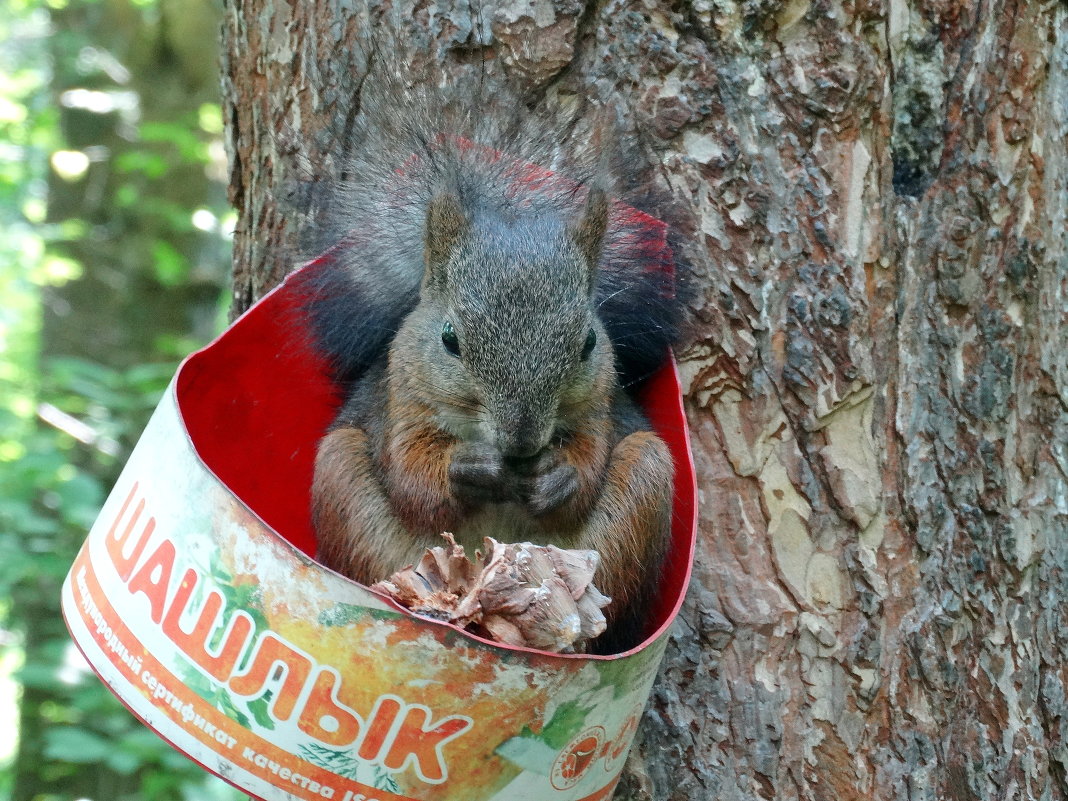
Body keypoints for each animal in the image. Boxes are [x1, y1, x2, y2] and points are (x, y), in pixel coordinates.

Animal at [301, 78, 683, 653]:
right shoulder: (400, 401)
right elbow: (412, 479)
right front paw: (470, 467)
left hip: (645, 485)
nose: (521, 442)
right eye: (449, 339)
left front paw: (557, 478)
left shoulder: (599, 406)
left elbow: (589, 461)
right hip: (341, 478)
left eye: (590, 342)